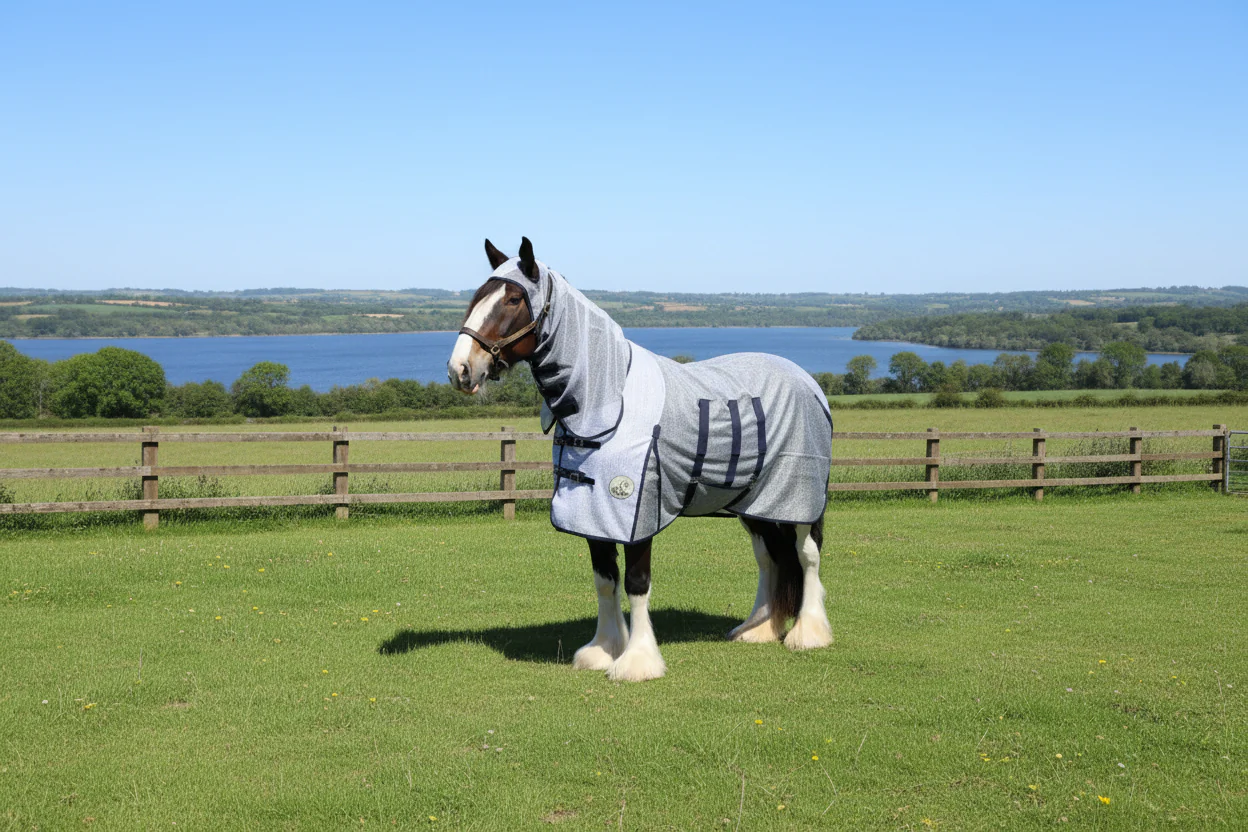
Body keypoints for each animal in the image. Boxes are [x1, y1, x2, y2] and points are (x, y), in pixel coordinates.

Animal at [448, 237, 834, 681]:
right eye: (477, 296)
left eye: (512, 299)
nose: (460, 369)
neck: (607, 402)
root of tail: (807, 382)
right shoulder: (592, 514)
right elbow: (605, 580)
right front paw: (603, 650)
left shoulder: (637, 511)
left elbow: (635, 582)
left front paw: (637, 661)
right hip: (754, 503)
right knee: (769, 557)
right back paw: (759, 629)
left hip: (801, 499)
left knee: (807, 554)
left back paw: (808, 633)